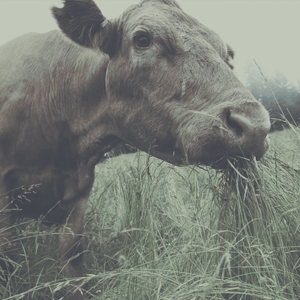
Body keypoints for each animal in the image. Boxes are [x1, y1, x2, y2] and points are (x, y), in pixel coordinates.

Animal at [0, 0, 270, 298]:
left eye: (228, 54)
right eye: (143, 39)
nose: (255, 126)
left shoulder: (80, 191)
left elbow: (73, 258)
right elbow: (9, 257)